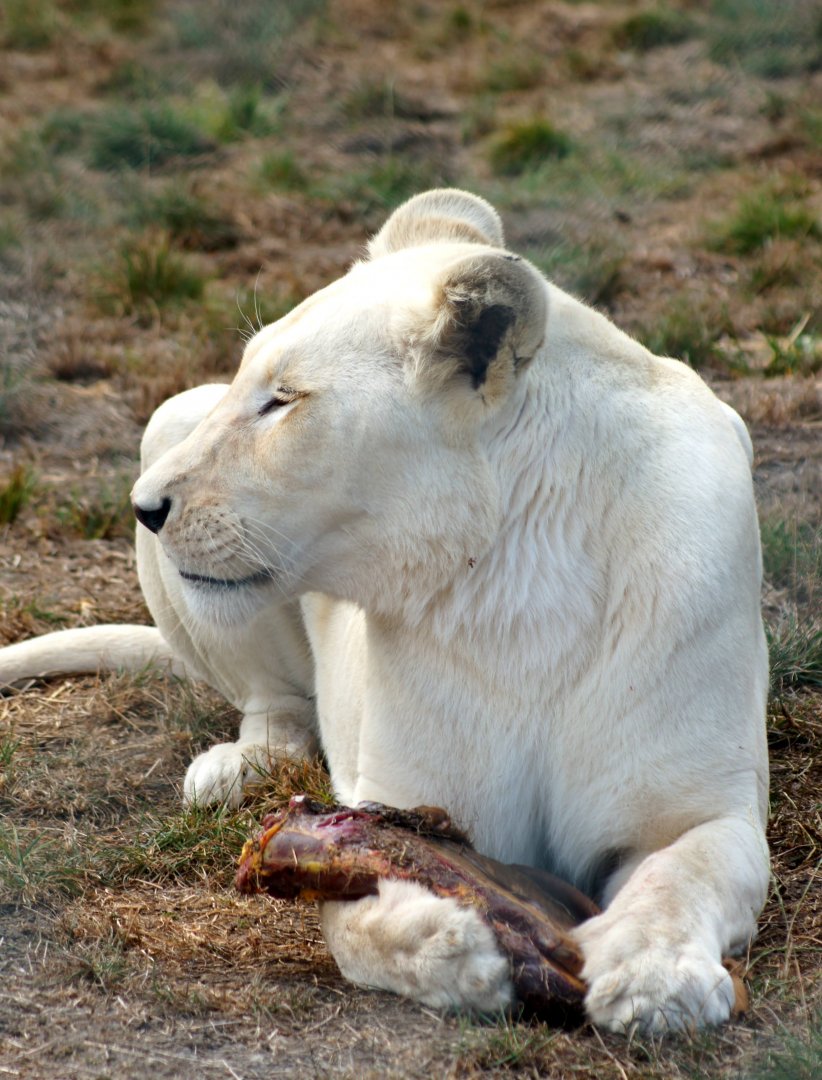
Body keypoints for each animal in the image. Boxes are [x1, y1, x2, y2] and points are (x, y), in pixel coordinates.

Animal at [0, 189, 769, 1034]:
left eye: (283, 400)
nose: (144, 508)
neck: (521, 581)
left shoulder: (705, 811)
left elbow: (682, 877)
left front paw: (653, 978)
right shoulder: (401, 801)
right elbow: (356, 916)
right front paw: (455, 949)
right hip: (168, 418)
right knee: (274, 705)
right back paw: (239, 767)